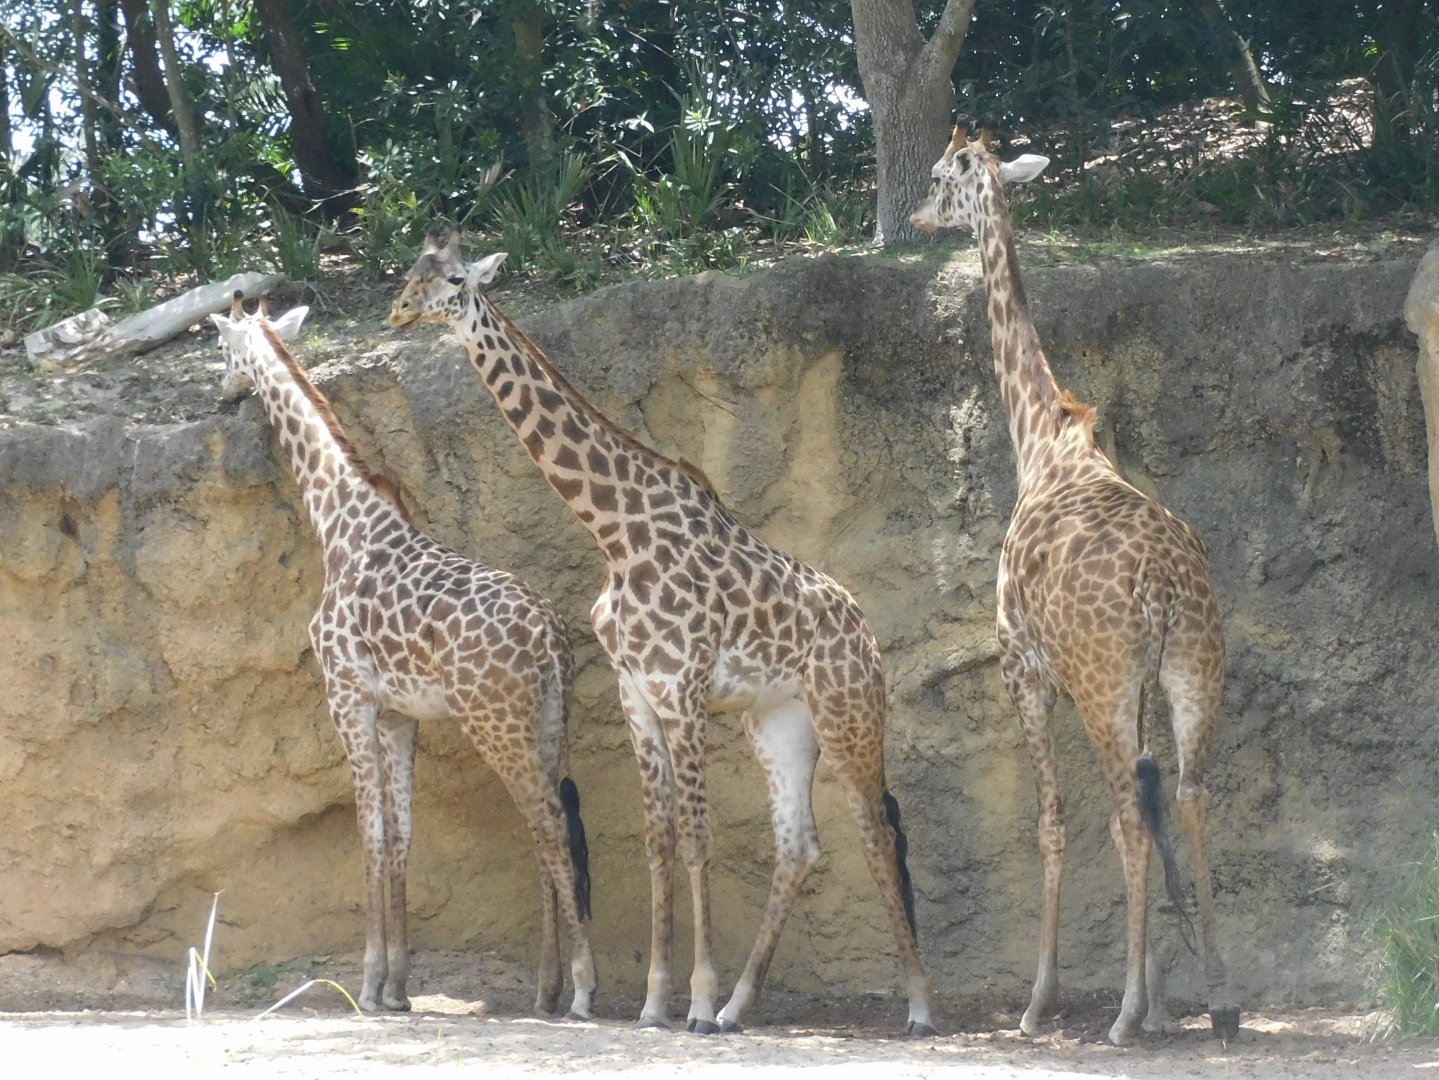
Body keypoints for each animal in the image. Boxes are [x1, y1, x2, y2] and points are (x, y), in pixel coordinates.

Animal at [208, 295, 597, 1019]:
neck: (337, 518)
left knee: (551, 823)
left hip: (493, 720)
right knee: (548, 825)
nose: (222, 393)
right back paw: (546, 987)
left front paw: (367, 985)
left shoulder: (348, 697)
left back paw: (583, 989)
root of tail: (549, 637)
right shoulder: (399, 715)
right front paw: (397, 987)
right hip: (551, 720)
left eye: (223, 349)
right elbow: (401, 836)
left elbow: (369, 833)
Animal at [387, 232, 937, 1037]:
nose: (398, 311)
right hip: (779, 719)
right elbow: (658, 839)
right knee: (799, 844)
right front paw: (655, 1003)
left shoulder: (683, 688)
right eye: (412, 273)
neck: (618, 532)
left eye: (454, 279)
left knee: (877, 829)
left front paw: (695, 1000)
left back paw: (917, 1008)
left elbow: (698, 836)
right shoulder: (637, 694)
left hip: (849, 710)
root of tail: (865, 631)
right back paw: (741, 1006)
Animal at [910, 127, 1240, 1046]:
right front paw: (1162, 991)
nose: (914, 216)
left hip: (1100, 680)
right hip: (1190, 668)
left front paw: (1039, 1002)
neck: (1039, 439)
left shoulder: (1021, 666)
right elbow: (1156, 799)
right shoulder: (1140, 686)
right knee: (1187, 795)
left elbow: (1051, 824)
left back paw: (1121, 1018)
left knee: (1125, 813)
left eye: (939, 175)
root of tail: (1162, 585)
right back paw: (1219, 1000)